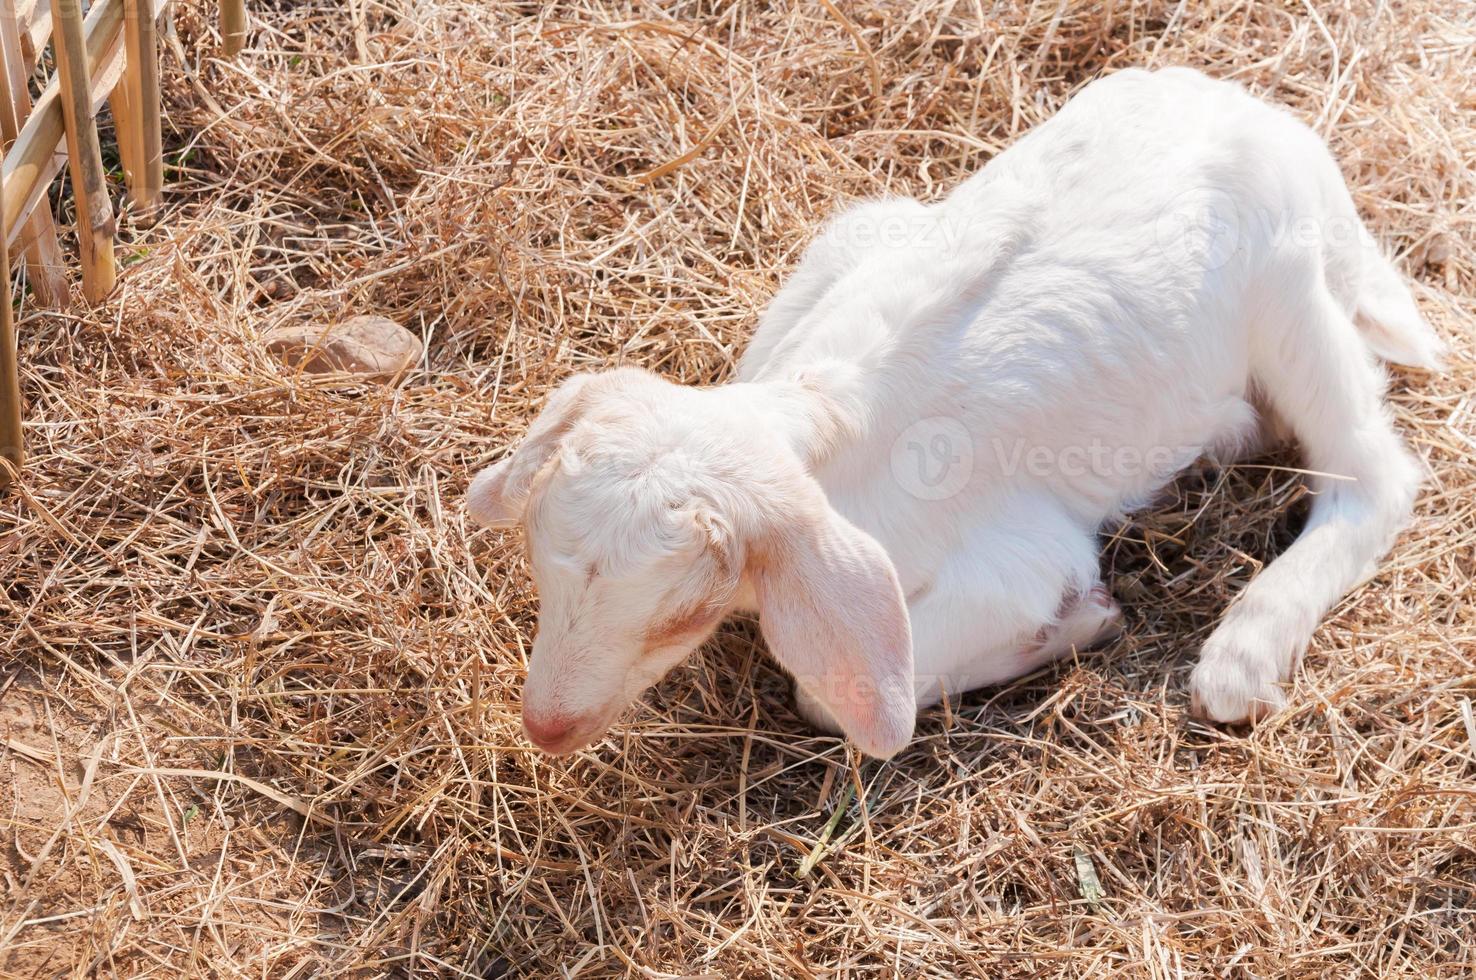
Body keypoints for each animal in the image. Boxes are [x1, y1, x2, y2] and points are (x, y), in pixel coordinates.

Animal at [469, 68, 1440, 755]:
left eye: (682, 615)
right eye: (540, 565)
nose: (545, 730)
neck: (828, 425)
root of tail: (1277, 128)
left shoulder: (1016, 562)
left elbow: (829, 699)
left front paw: (1083, 622)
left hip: (1287, 291)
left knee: (1375, 474)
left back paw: (1242, 653)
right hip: (869, 223)